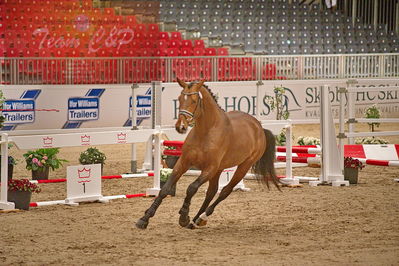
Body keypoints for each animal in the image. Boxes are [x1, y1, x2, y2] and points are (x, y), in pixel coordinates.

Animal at [136, 78, 280, 229]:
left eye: (194, 101)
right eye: (180, 98)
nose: (180, 127)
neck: (205, 131)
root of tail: (259, 127)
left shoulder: (209, 168)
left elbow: (191, 188)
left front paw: (184, 216)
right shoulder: (183, 163)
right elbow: (165, 189)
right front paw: (144, 218)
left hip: (243, 166)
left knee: (225, 191)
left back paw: (201, 217)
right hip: (220, 169)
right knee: (211, 192)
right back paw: (195, 220)